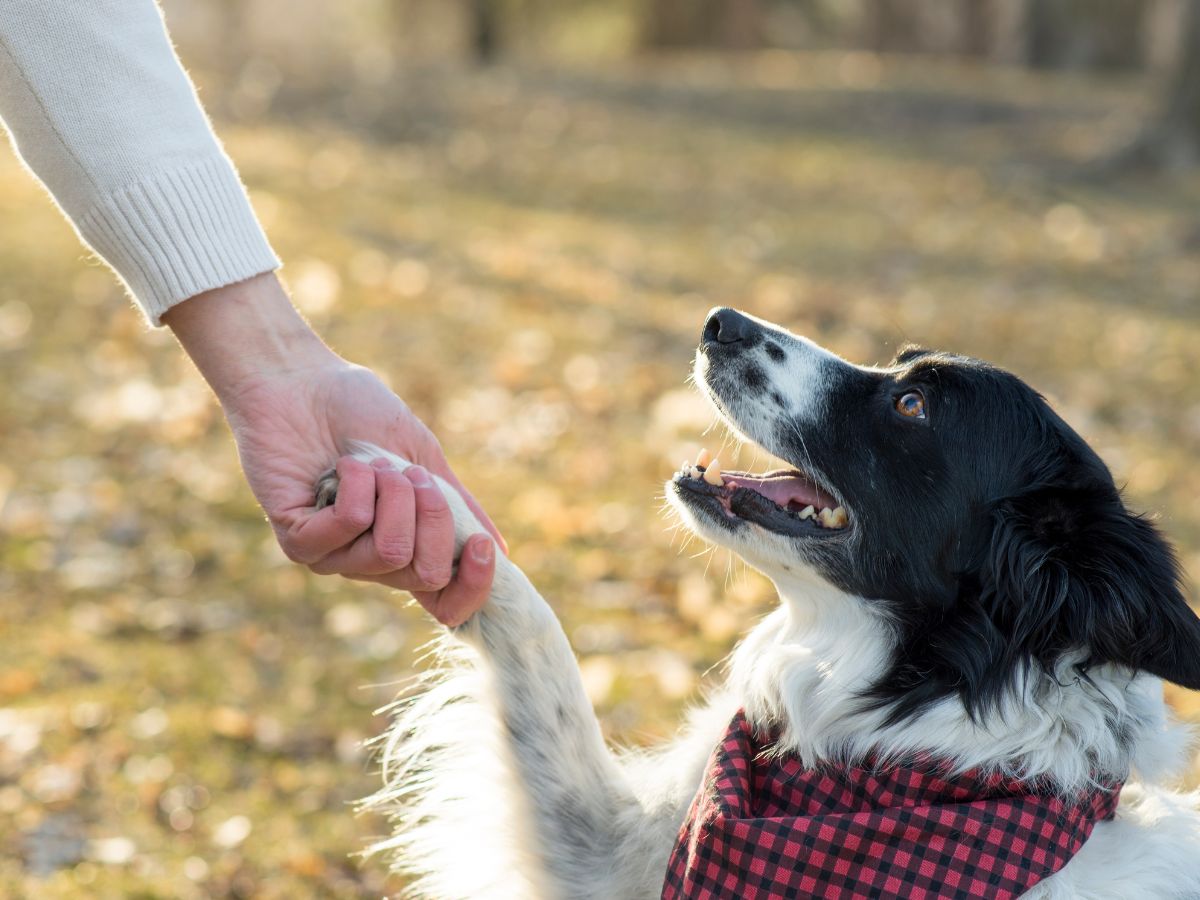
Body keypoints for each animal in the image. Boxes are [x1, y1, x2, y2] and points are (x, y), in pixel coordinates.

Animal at [316, 309, 1200, 897]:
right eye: (900, 366)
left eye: (913, 405)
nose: (721, 322)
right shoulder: (608, 850)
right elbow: (538, 646)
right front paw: (405, 485)